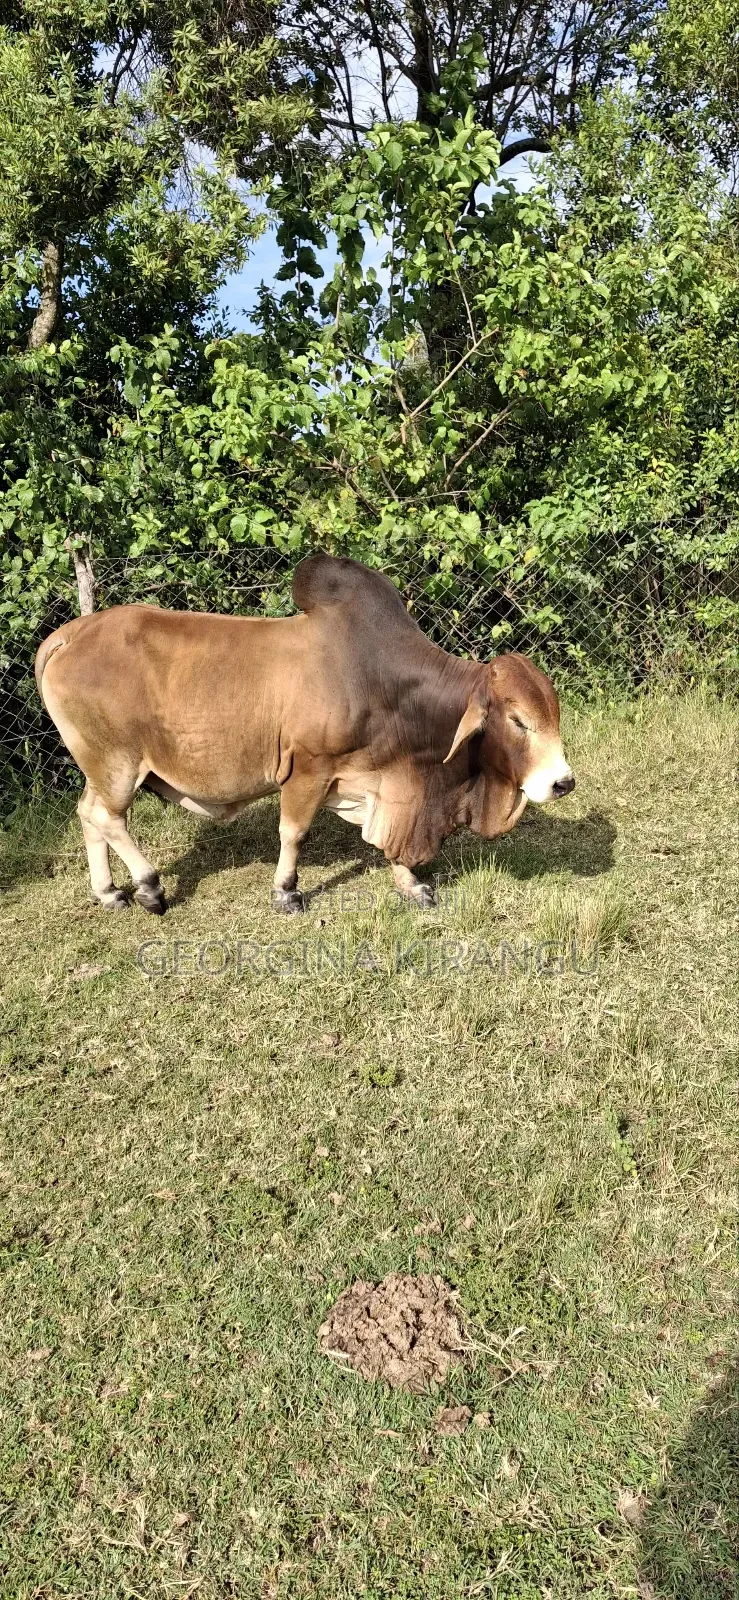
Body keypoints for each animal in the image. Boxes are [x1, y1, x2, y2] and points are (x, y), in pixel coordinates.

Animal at [34, 552, 574, 914]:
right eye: (518, 721)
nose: (563, 782)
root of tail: (69, 633)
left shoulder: (364, 778)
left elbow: (378, 841)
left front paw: (410, 883)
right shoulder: (307, 770)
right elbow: (293, 833)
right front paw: (286, 891)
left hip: (104, 768)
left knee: (88, 814)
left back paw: (109, 892)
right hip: (117, 764)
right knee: (106, 817)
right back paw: (147, 886)